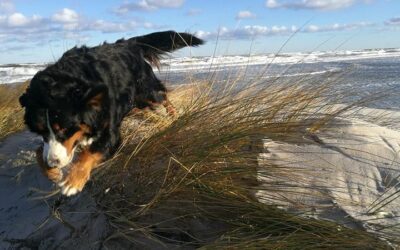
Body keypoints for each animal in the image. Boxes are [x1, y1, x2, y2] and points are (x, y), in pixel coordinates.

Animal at [18, 30, 203, 196]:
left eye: (64, 129)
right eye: (39, 131)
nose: (53, 163)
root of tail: (128, 43)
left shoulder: (110, 131)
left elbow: (90, 152)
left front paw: (73, 180)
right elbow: (39, 151)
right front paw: (52, 173)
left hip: (146, 92)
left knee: (163, 98)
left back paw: (175, 116)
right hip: (138, 101)